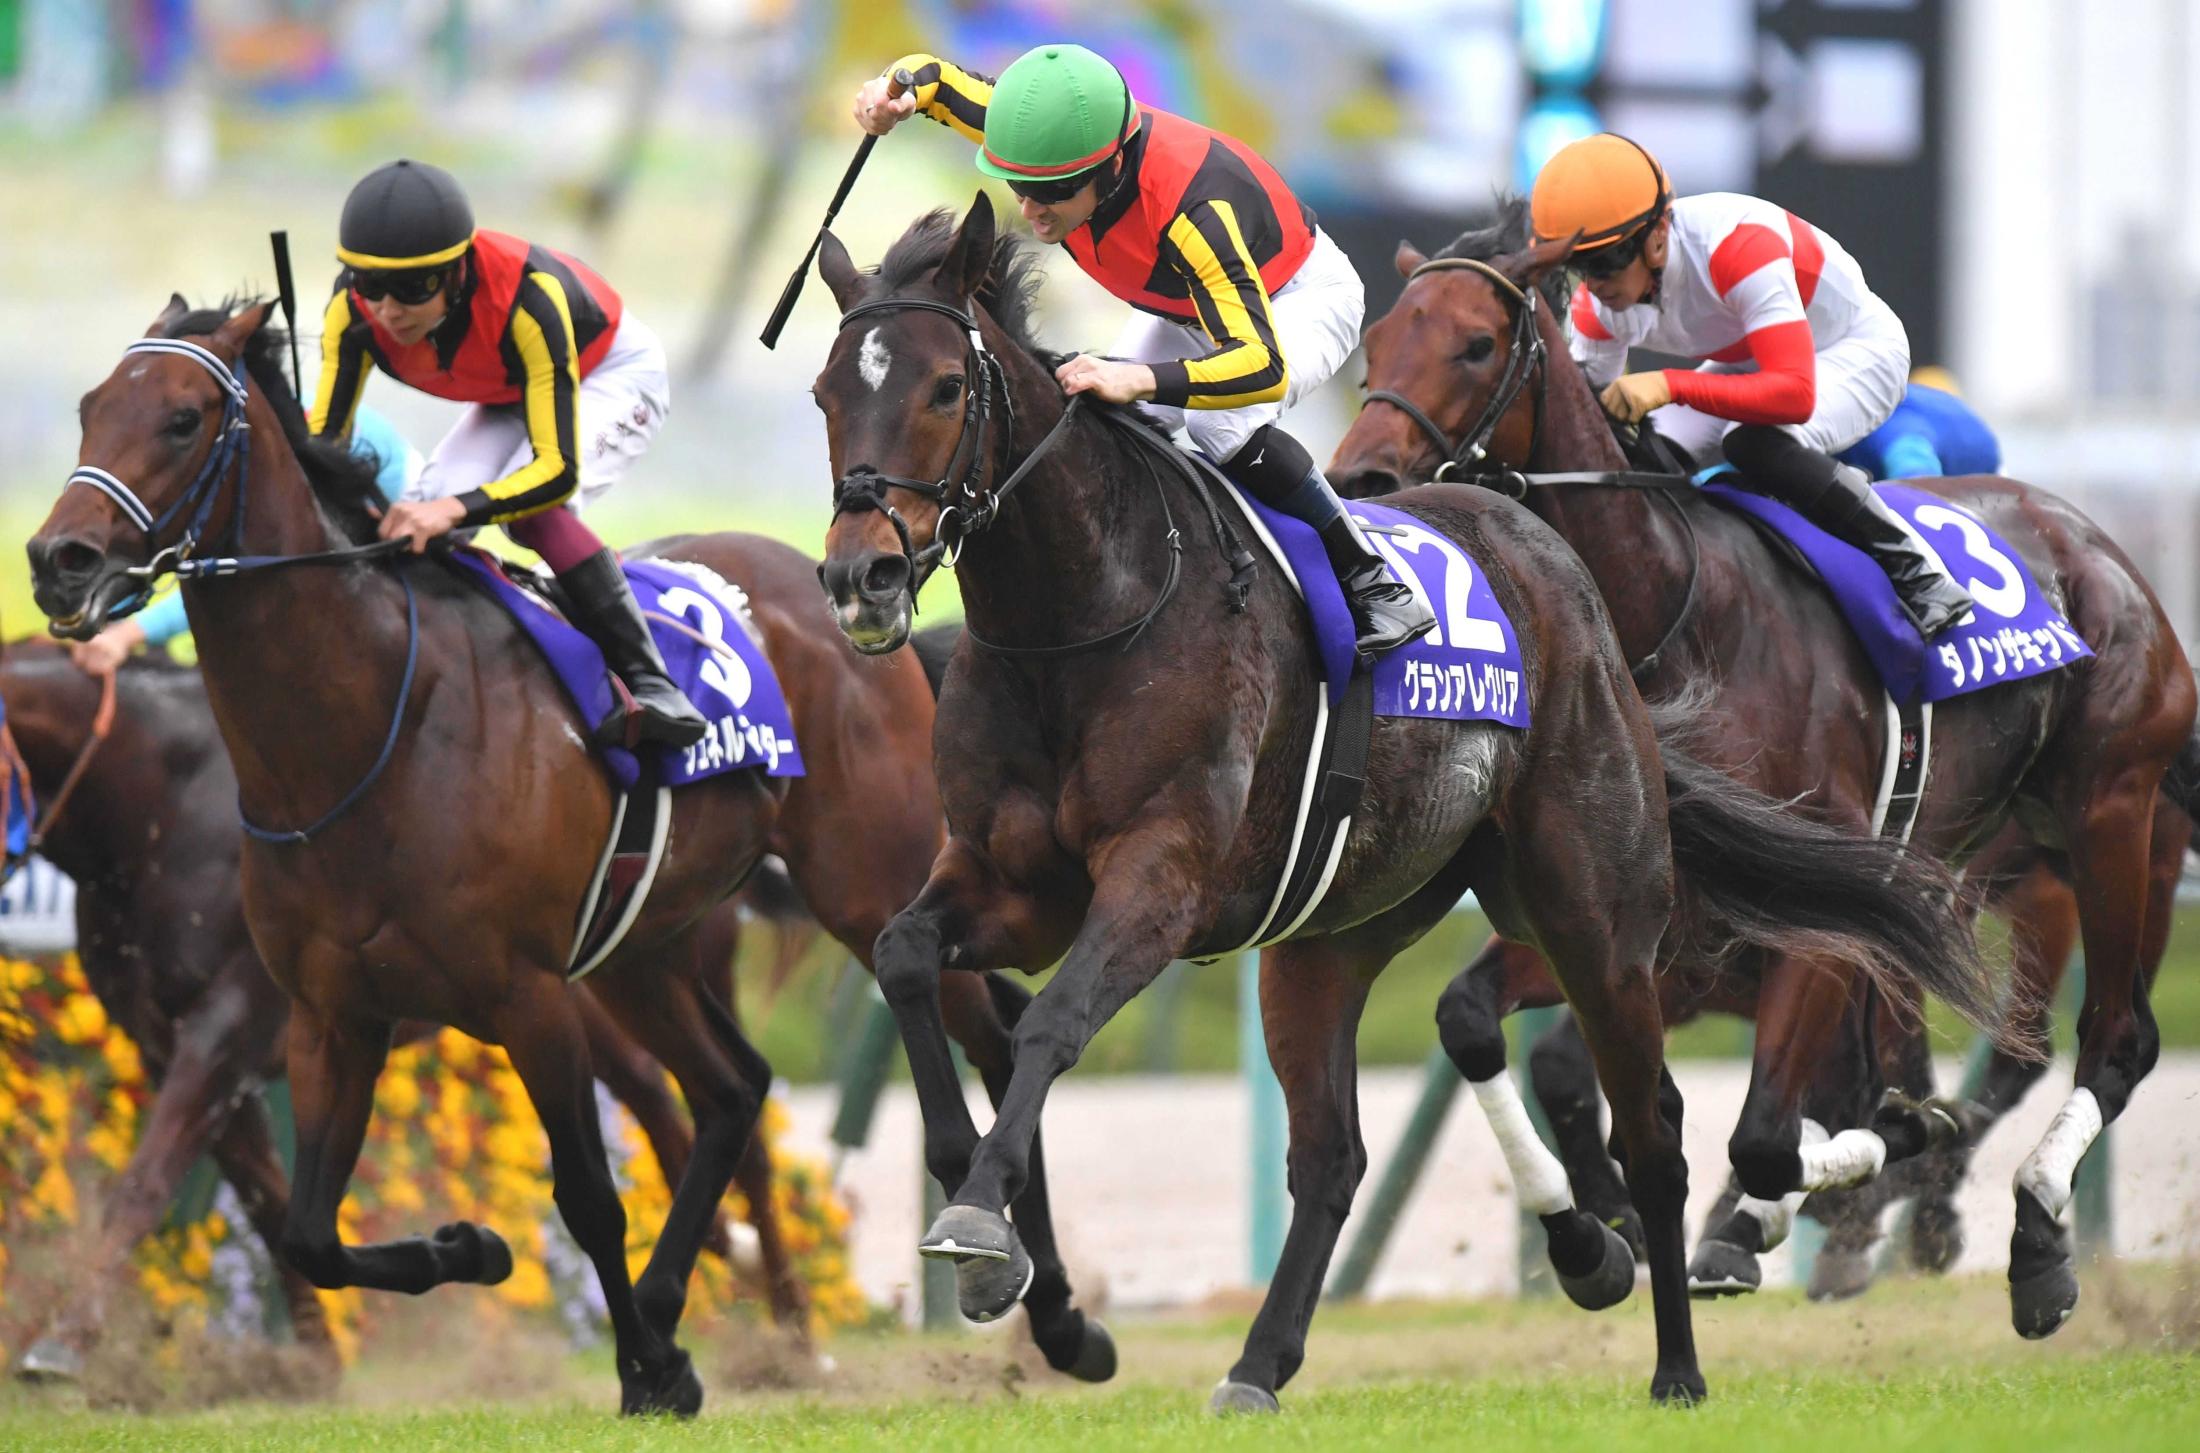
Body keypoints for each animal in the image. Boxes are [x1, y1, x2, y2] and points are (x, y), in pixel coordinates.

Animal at [0, 629, 818, 1382]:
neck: (160, 812)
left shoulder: (226, 1032)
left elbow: (148, 1183)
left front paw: (60, 1342)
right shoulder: (176, 1041)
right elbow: (269, 1199)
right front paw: (317, 1360)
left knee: (741, 1136)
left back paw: (794, 1334)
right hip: (603, 996)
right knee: (674, 1103)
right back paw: (725, 1263)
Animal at [809, 198, 1997, 1400]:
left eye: (943, 388)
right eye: (824, 392)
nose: (862, 575)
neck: (1084, 615)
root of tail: (1551, 559)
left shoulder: (1159, 879)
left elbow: (1052, 1021)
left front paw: (978, 1221)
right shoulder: (1010, 883)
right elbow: (907, 956)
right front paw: (983, 1209)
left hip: (1599, 915)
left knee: (1653, 1129)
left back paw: (1677, 1357)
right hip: (1332, 933)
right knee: (1335, 1156)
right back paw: (1282, 1357)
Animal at [1320, 195, 2200, 1338]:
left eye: (1474, 344)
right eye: (1380, 340)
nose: (1358, 479)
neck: (1674, 616)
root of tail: (2104, 550)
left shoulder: (1818, 908)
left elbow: (1773, 1136)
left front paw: (1783, 1207)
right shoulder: (1663, 909)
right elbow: (1482, 1022)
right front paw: (1606, 1227)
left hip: (2111, 816)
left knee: (2114, 1036)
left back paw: (2037, 1241)